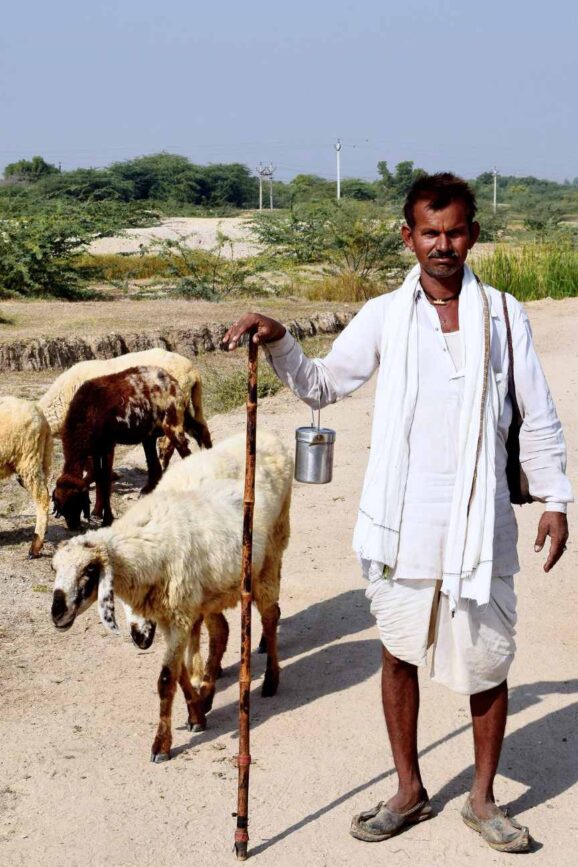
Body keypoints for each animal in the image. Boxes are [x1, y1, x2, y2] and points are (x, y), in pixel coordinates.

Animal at [51, 438, 290, 764]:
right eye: (54, 570)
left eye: (89, 571)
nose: (56, 613)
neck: (147, 548)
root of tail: (271, 437)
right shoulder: (173, 615)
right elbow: (178, 674)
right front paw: (196, 715)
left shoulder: (179, 614)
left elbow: (166, 680)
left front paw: (161, 745)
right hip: (214, 591)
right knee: (222, 632)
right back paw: (209, 693)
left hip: (268, 561)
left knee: (270, 615)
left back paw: (271, 680)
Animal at [53, 364, 190, 528]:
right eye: (61, 505)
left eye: (75, 501)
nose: (73, 526)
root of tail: (170, 378)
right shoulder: (96, 449)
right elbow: (99, 478)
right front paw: (98, 512)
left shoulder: (107, 446)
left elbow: (105, 480)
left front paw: (107, 519)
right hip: (150, 433)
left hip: (173, 423)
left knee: (186, 453)